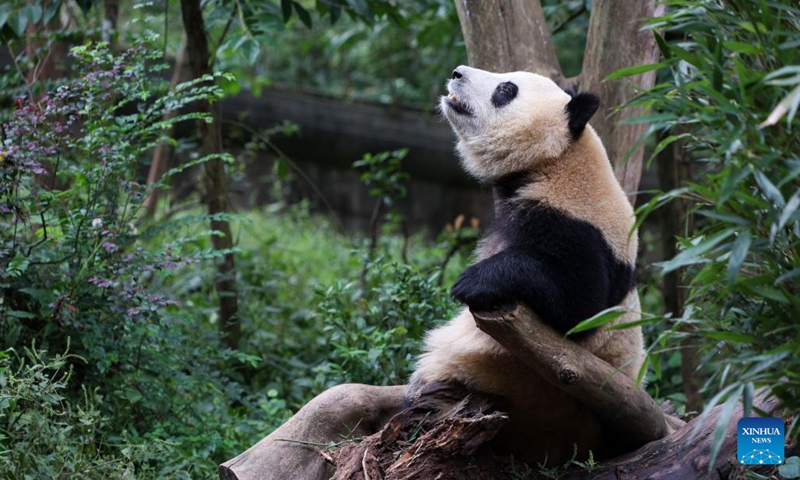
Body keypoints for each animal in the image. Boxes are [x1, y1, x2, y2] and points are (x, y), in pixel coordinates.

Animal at [408, 65, 645, 466]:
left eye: (506, 89)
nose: (456, 72)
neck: (556, 163)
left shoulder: (582, 230)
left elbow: (578, 306)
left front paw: (473, 281)